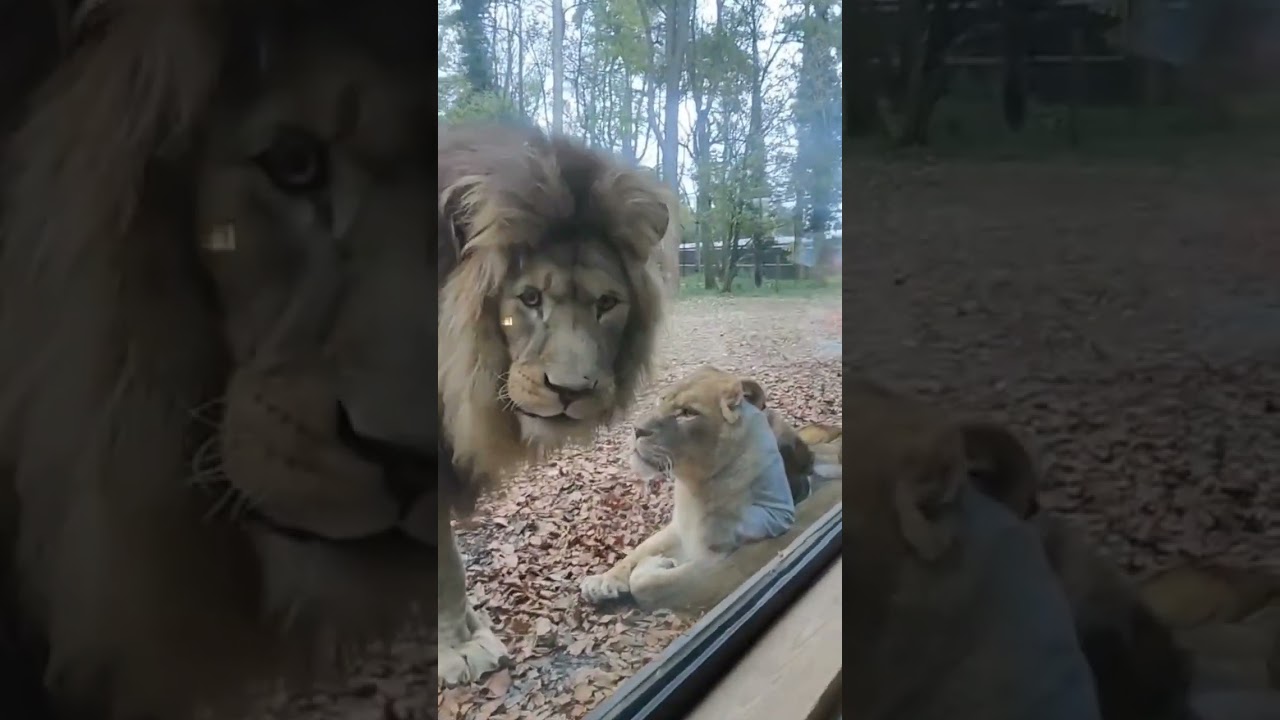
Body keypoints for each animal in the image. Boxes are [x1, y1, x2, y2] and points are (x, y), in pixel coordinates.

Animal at [578, 366, 842, 613]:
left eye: (687, 413)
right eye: (661, 400)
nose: (636, 429)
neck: (694, 487)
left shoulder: (733, 563)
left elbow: (657, 585)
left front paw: (654, 566)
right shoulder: (680, 526)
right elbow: (642, 547)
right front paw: (603, 580)